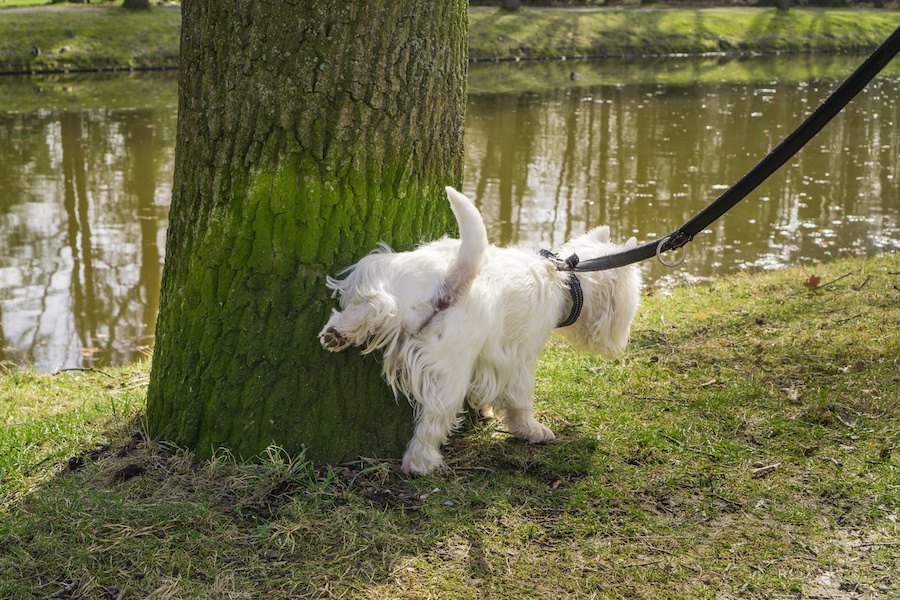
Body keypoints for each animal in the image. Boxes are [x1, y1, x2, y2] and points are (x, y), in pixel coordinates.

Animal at [316, 185, 640, 476]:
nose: (620, 345)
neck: (565, 278)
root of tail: (453, 278)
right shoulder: (520, 358)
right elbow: (520, 400)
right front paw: (532, 430)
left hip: (389, 277)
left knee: (377, 305)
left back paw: (338, 332)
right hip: (449, 369)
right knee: (433, 420)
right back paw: (420, 463)